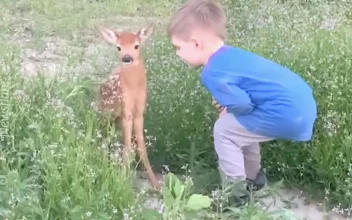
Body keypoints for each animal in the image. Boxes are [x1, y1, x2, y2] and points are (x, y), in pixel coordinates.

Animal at [97, 25, 161, 190]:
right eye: (118, 47)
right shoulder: (126, 111)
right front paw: (121, 181)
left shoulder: (139, 112)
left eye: (136, 45)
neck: (134, 89)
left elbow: (141, 147)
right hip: (106, 113)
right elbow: (127, 147)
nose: (127, 58)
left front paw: (156, 184)